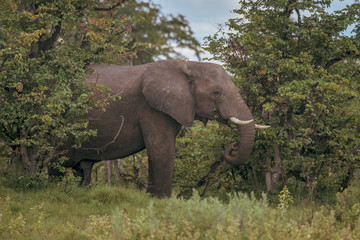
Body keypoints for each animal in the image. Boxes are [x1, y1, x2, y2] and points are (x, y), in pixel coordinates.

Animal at [50, 60, 268, 197]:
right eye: (216, 93)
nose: (232, 146)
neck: (188, 65)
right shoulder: (151, 108)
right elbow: (161, 151)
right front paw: (161, 201)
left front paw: (151, 198)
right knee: (57, 161)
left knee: (82, 170)